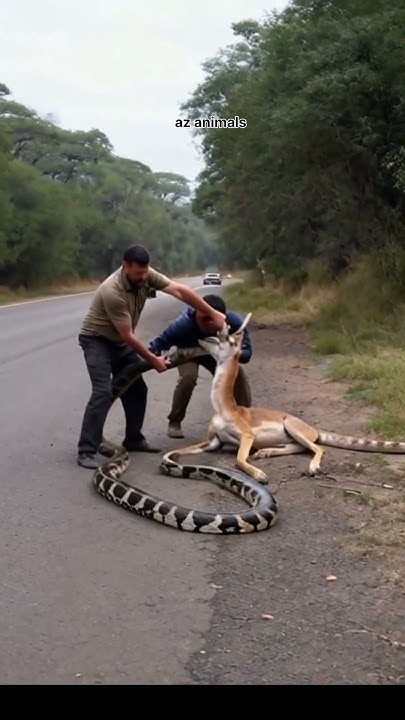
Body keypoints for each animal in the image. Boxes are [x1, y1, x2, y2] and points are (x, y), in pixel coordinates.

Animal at [163, 313, 405, 484]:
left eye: (229, 339)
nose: (204, 336)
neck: (226, 409)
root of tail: (314, 428)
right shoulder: (213, 441)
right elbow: (178, 451)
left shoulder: (247, 435)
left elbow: (240, 459)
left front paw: (260, 476)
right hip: (290, 435)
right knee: (300, 447)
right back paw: (266, 452)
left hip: (291, 425)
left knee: (318, 448)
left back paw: (311, 468)